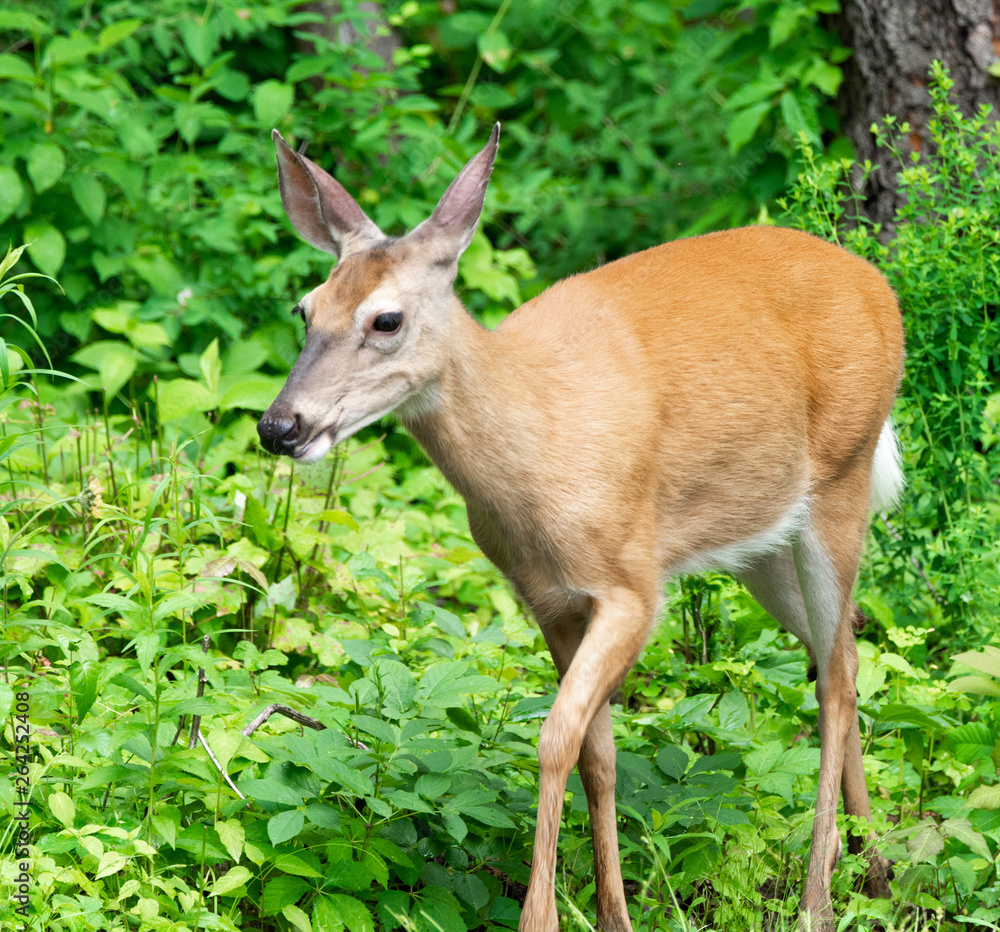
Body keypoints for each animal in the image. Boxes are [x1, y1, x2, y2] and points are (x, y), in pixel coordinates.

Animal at [256, 124, 903, 932]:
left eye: (386, 318)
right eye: (305, 309)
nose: (280, 425)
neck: (538, 454)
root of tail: (879, 287)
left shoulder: (632, 586)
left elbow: (553, 738)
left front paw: (542, 917)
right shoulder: (548, 598)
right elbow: (597, 753)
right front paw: (614, 914)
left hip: (842, 482)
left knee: (838, 681)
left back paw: (818, 897)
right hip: (762, 543)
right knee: (838, 649)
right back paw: (874, 868)